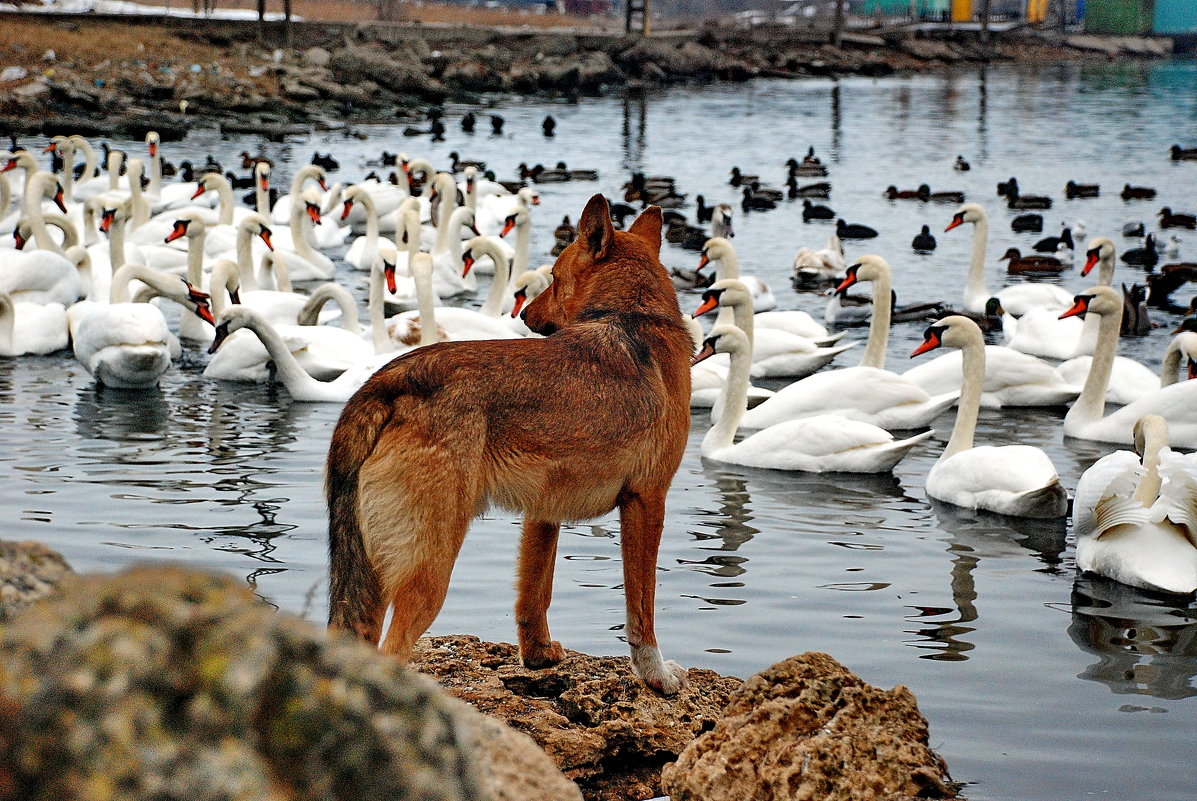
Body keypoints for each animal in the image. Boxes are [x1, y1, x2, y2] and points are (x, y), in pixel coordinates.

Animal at [325, 195, 694, 694]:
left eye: (553, 277)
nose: (523, 316)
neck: (630, 315)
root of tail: (390, 381)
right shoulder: (647, 501)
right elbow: (642, 610)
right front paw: (656, 676)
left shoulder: (545, 510)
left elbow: (535, 592)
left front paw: (538, 656)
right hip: (428, 568)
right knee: (393, 651)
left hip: (369, 575)